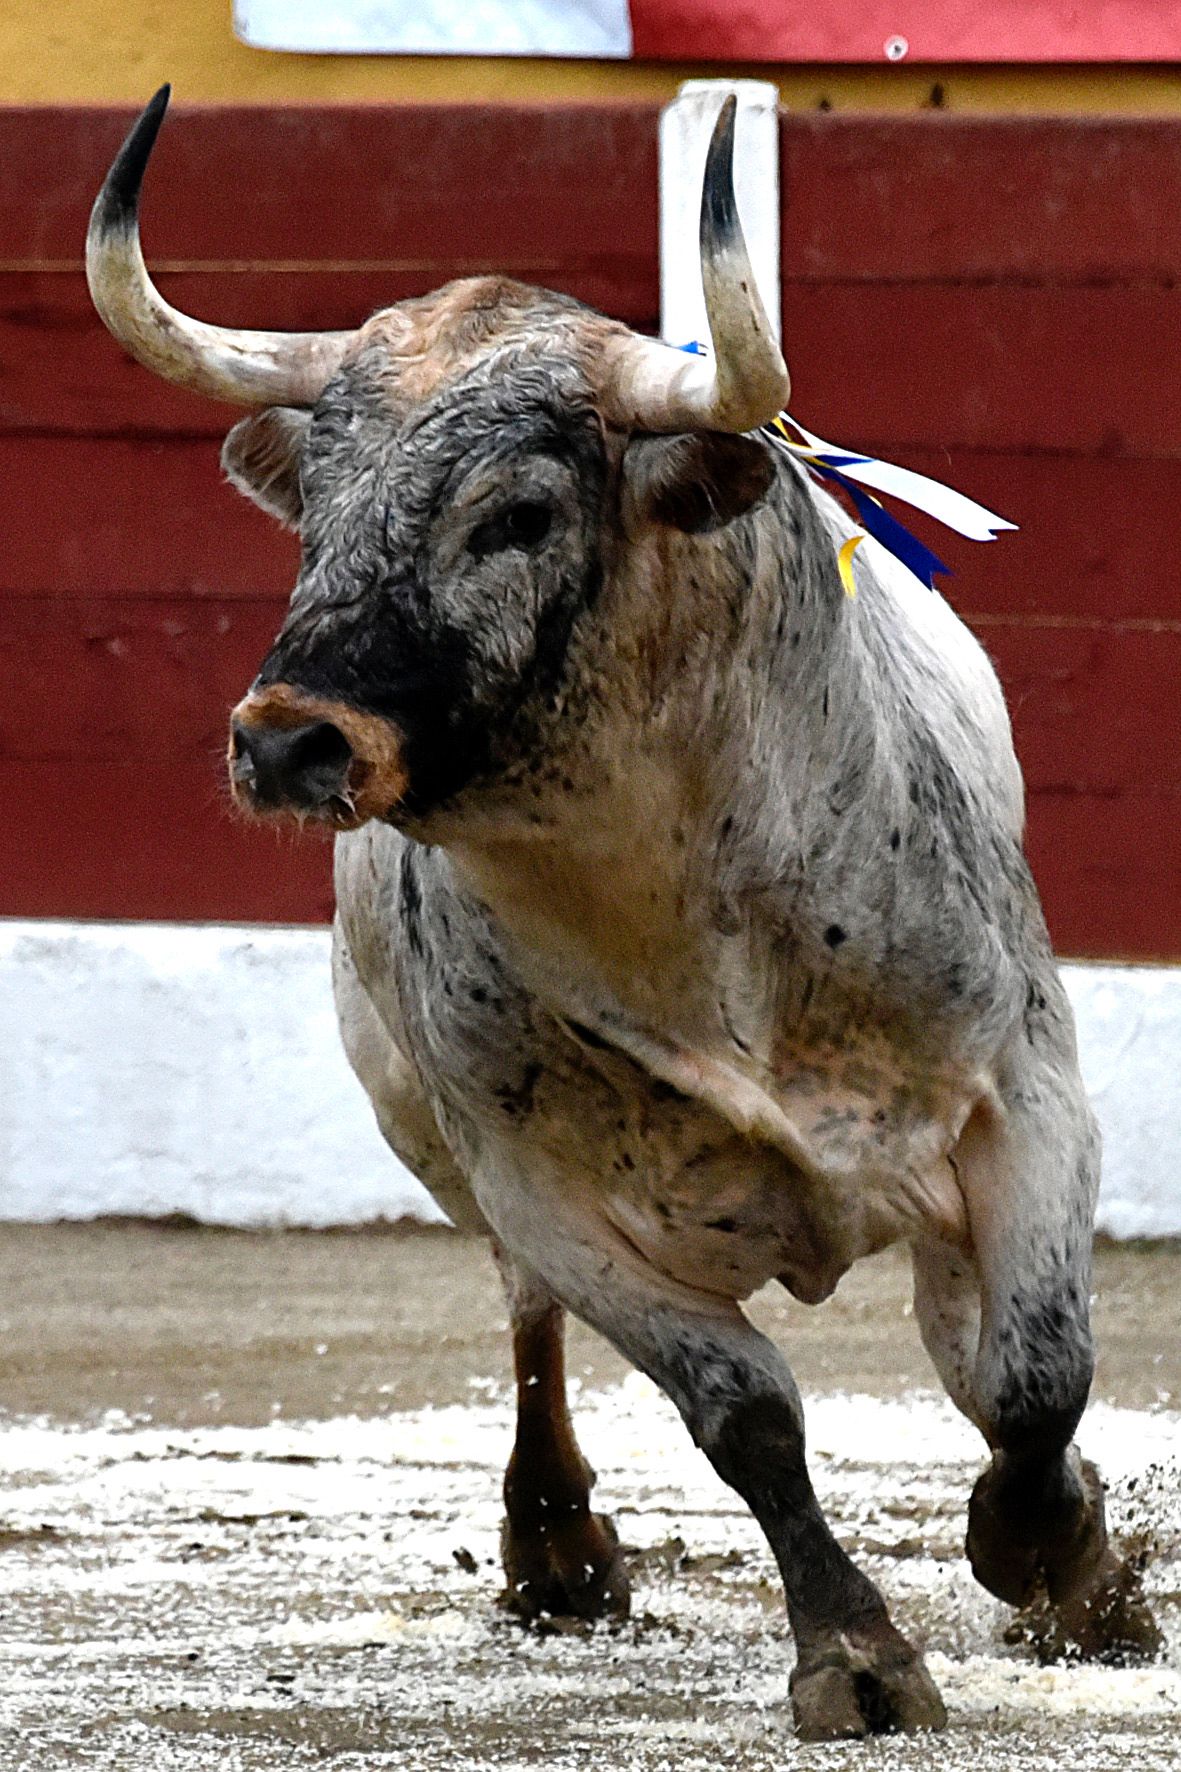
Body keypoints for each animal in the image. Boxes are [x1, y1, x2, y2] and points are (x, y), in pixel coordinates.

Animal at [87, 89, 1156, 1736]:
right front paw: (854, 1655)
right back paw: (553, 1551)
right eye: (313, 510)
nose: (288, 741)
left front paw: (1064, 1564)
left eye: (518, 513)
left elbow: (1033, 1373)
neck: (690, 923)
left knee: (967, 1346)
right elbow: (744, 1414)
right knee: (529, 1323)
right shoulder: (549, 1190)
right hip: (429, 1133)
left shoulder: (1024, 1093)